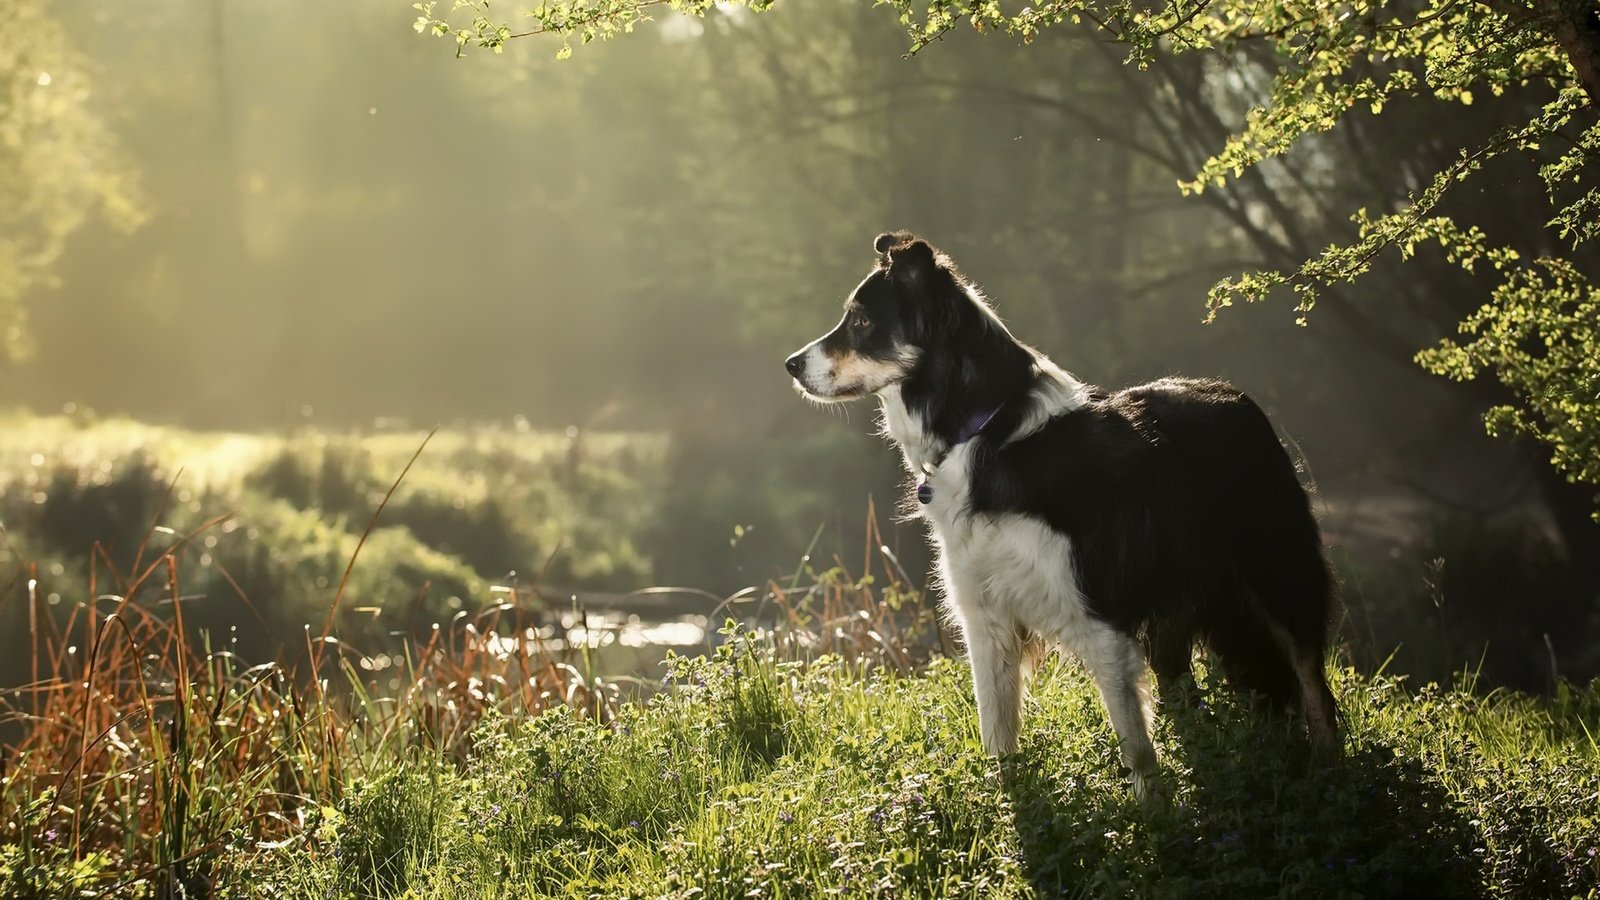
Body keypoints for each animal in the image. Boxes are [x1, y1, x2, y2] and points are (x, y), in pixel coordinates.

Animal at [787, 230, 1337, 791]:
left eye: (861, 322)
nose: (791, 365)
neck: (988, 430)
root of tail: (1236, 394)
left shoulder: (1099, 620)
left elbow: (1136, 749)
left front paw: (1154, 809)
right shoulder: (986, 620)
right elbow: (998, 735)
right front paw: (1008, 805)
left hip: (1279, 575)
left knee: (1312, 682)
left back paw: (1331, 769)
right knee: (1185, 689)